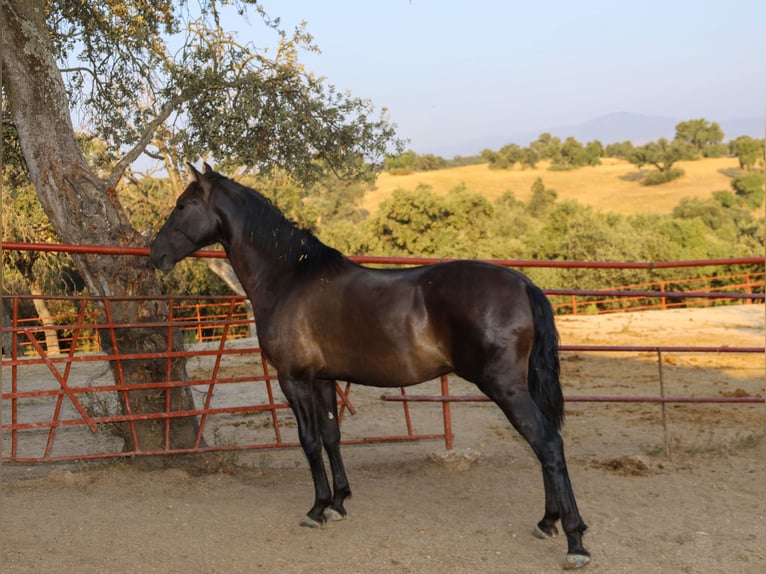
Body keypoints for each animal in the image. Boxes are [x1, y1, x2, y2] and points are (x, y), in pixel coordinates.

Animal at [152, 163, 592, 572]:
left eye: (183, 205)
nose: (154, 254)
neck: (289, 279)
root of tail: (524, 284)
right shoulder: (323, 379)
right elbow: (331, 436)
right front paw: (338, 502)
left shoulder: (293, 379)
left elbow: (309, 441)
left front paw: (316, 509)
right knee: (543, 445)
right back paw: (548, 521)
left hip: (506, 388)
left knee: (547, 443)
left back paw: (575, 541)